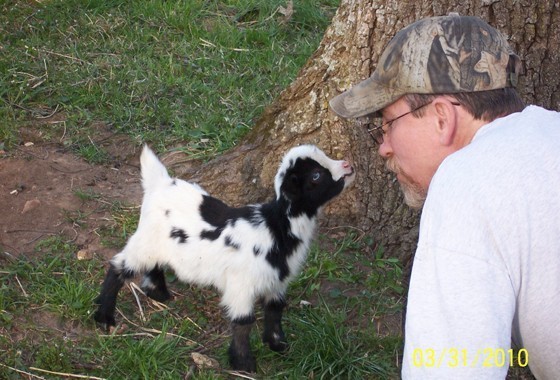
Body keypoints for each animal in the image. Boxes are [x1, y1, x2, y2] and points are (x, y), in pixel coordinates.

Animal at [92, 144, 354, 372]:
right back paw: (104, 316)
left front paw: (277, 345)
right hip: (145, 241)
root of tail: (160, 183)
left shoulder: (276, 281)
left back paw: (158, 292)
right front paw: (243, 364)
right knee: (118, 266)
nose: (348, 165)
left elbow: (275, 310)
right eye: (316, 176)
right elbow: (243, 322)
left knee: (153, 265)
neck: (276, 226)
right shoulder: (242, 285)